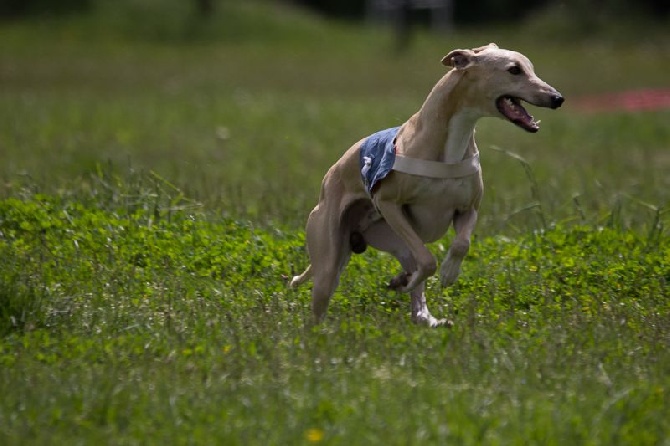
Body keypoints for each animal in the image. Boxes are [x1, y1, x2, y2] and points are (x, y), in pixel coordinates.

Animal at [292, 43, 564, 326]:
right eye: (514, 70)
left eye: (530, 67)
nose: (557, 98)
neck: (450, 144)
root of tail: (327, 181)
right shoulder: (388, 204)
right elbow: (428, 260)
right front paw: (419, 278)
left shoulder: (468, 209)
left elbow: (461, 244)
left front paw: (449, 272)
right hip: (330, 257)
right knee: (320, 302)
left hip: (394, 242)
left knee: (416, 295)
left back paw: (422, 311)